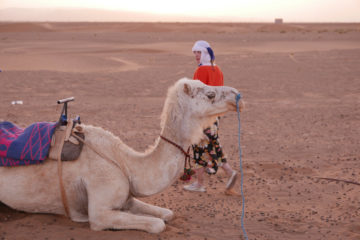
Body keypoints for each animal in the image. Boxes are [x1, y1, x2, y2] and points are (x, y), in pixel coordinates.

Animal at [0, 78, 245, 233]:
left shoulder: (127, 198)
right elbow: (158, 224)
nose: (238, 96)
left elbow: (167, 214)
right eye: (210, 94)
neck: (124, 162)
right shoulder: (100, 211)